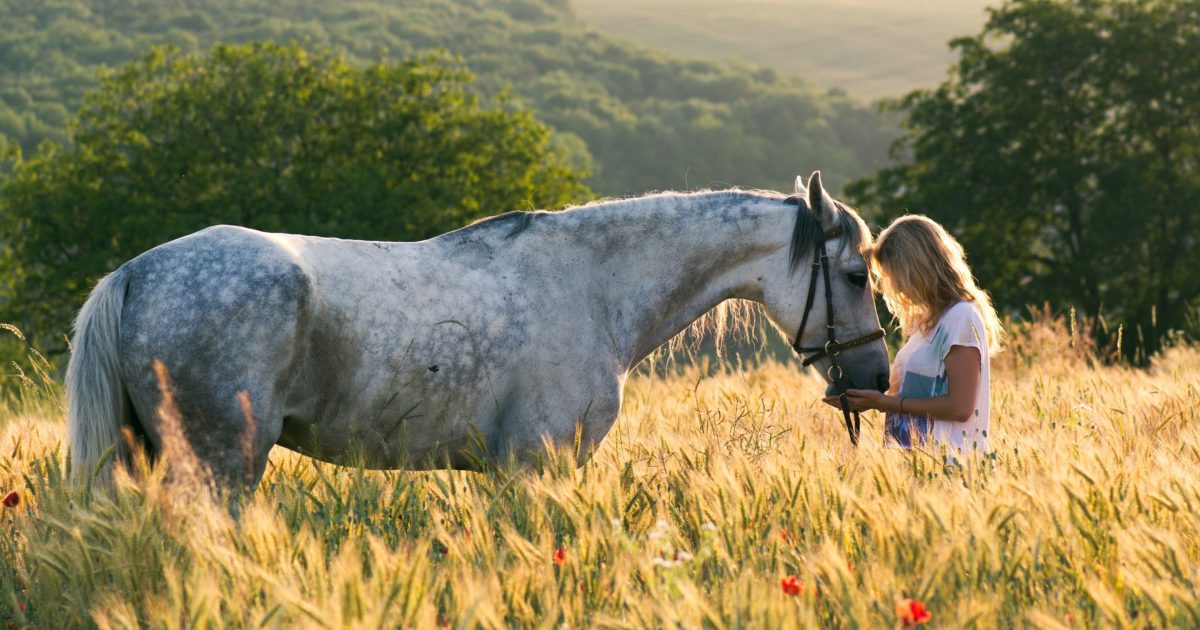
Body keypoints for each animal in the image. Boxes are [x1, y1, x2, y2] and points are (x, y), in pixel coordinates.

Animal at [65, 170, 892, 492]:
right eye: (857, 275)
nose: (877, 378)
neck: (593, 285)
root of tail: (137, 272)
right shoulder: (537, 466)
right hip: (221, 465)